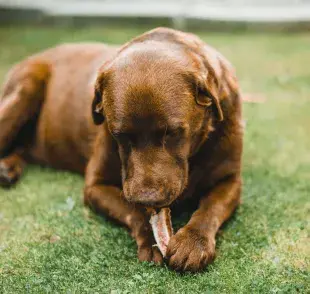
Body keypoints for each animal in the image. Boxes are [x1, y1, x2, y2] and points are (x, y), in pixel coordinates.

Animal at [0, 28, 242, 272]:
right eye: (119, 134)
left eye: (172, 132)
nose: (148, 199)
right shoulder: (96, 186)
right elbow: (131, 210)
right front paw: (151, 240)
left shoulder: (231, 180)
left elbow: (211, 208)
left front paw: (193, 242)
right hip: (25, 89)